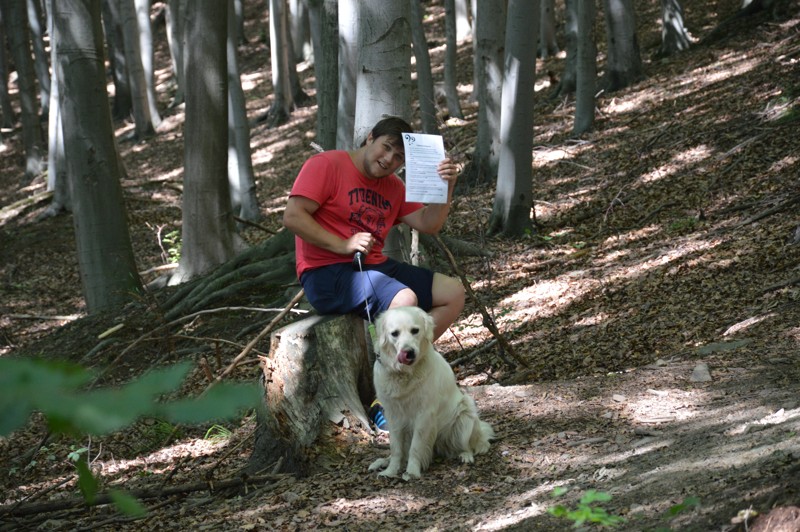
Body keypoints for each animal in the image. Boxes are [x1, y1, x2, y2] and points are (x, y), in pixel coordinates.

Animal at [368, 306, 494, 480]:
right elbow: (396, 448)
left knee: (467, 445)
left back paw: (465, 455)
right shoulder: (393, 415)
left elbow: (416, 446)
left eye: (415, 330)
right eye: (395, 333)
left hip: (465, 413)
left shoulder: (424, 414)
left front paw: (412, 471)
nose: (409, 352)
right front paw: (391, 471)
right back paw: (381, 462)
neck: (404, 374)